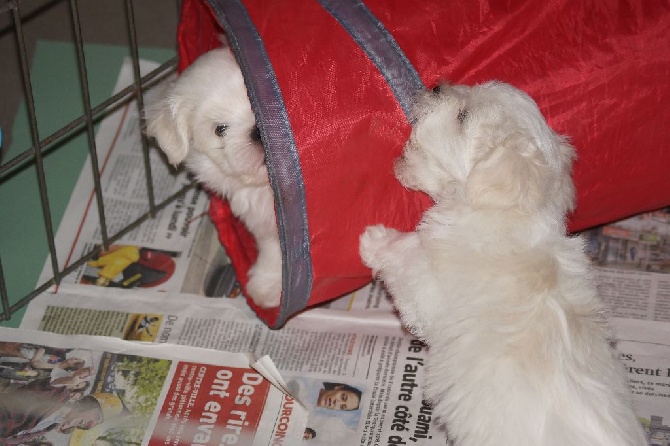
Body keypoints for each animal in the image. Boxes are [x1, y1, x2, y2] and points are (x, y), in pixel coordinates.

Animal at [362, 82, 652, 444]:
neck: (513, 213)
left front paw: (373, 239)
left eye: (463, 116)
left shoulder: (430, 288)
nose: (437, 85)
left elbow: (408, 255)